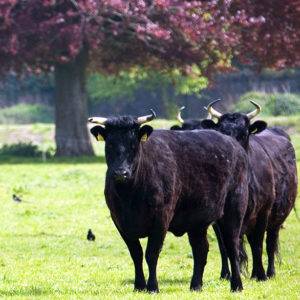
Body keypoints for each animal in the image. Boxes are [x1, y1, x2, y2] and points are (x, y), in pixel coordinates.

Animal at [88, 110, 248, 290]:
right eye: (109, 145)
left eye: (133, 145)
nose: (121, 173)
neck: (129, 196)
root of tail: (235, 145)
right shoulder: (120, 222)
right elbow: (136, 254)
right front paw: (139, 285)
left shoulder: (161, 218)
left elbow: (151, 254)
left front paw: (152, 287)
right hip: (197, 220)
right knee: (201, 249)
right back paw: (195, 285)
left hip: (234, 211)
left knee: (231, 247)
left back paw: (236, 285)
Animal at [202, 100, 298, 278]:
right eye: (221, 132)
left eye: (244, 133)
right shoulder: (220, 220)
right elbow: (225, 246)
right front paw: (228, 274)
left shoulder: (263, 213)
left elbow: (258, 244)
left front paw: (259, 274)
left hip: (277, 217)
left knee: (270, 242)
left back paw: (270, 272)